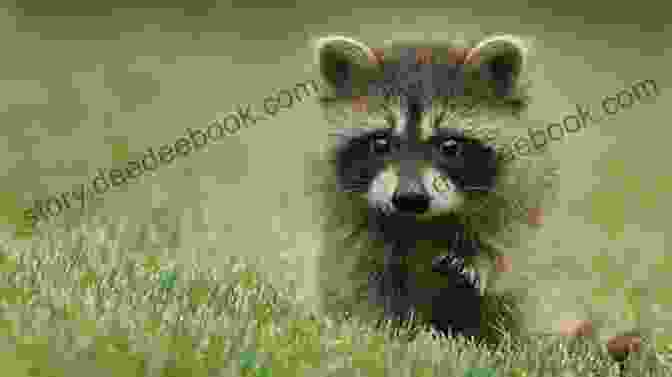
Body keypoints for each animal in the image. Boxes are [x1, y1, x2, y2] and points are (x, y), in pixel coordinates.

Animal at [308, 34, 560, 344]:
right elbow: (362, 289)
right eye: (381, 143)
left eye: (449, 147)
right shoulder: (353, 238)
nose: (409, 198)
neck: (420, 226)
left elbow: (499, 283)